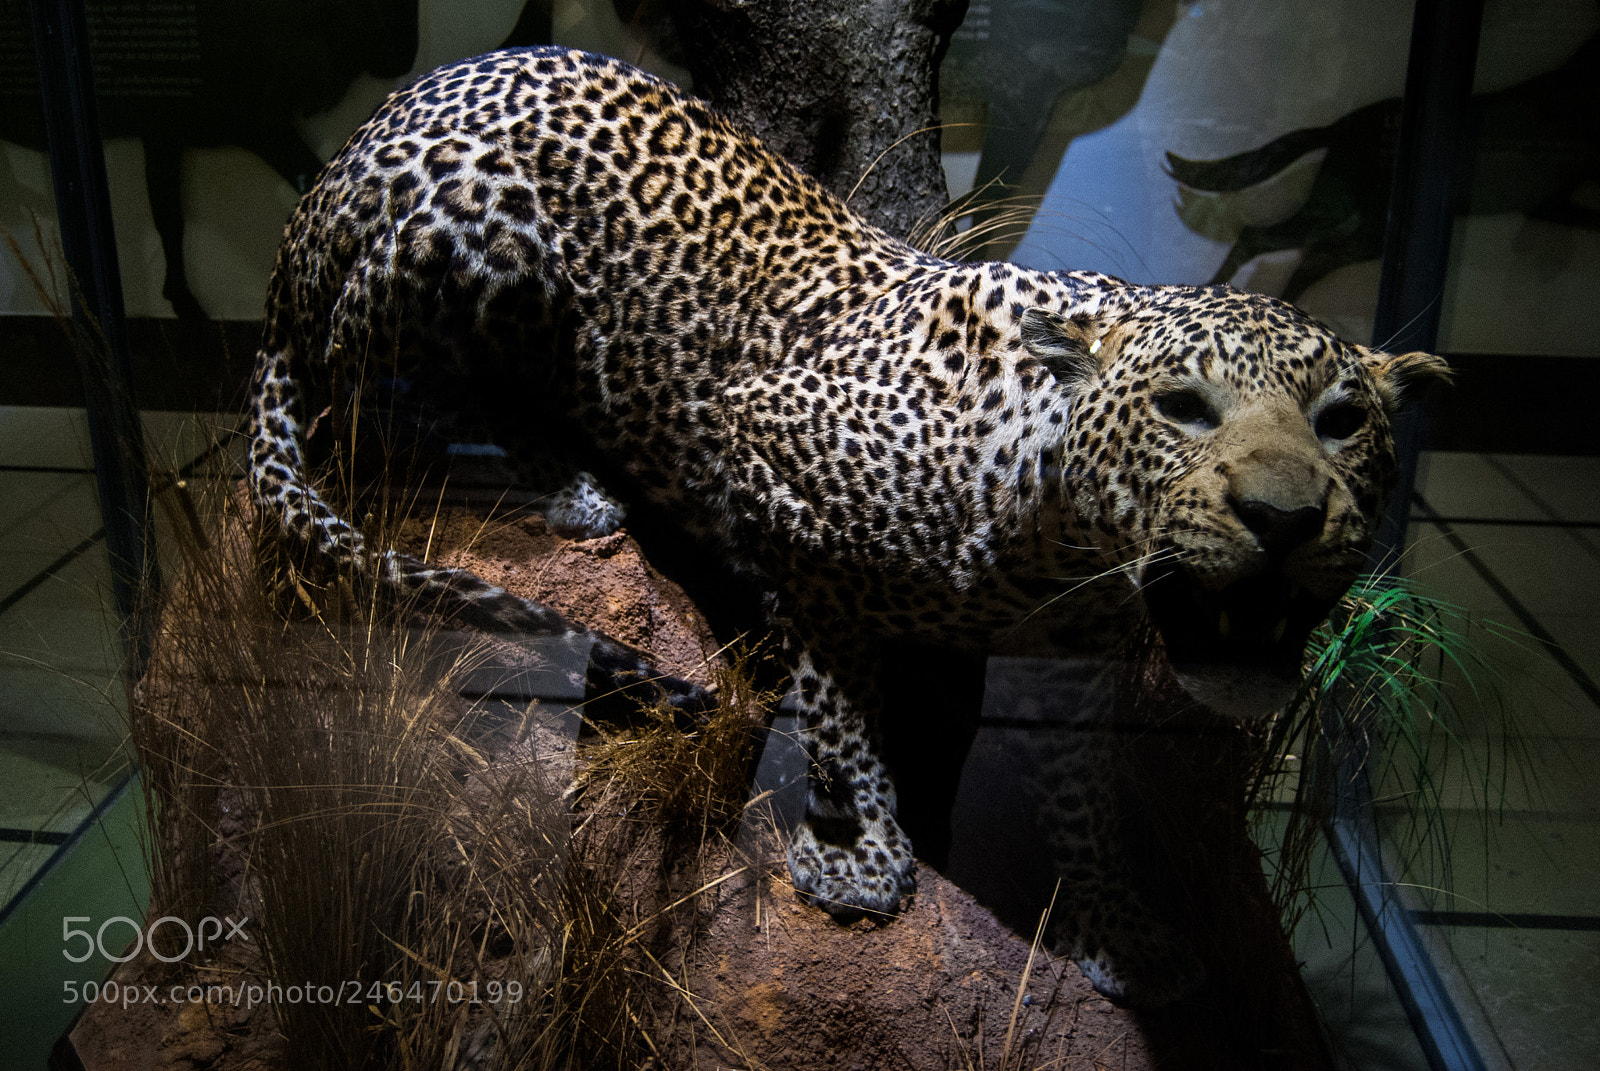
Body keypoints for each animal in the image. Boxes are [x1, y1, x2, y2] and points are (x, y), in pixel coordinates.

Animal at [246, 45, 1448, 1005]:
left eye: (1343, 422)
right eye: (1183, 408)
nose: (1284, 517)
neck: (1060, 537)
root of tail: (316, 197)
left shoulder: (1071, 659)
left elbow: (1086, 798)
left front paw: (1118, 925)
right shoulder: (760, 451)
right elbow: (833, 694)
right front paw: (865, 845)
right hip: (465, 238)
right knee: (381, 391)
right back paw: (573, 483)